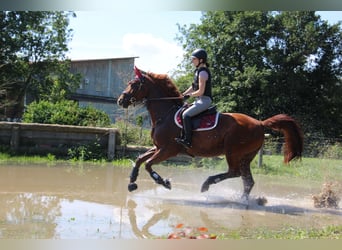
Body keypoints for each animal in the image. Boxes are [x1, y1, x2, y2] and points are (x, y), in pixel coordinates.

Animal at [117, 67, 302, 200]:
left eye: (134, 84)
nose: (120, 100)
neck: (166, 114)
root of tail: (260, 123)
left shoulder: (169, 149)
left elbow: (148, 165)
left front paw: (164, 182)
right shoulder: (158, 147)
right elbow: (139, 159)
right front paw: (132, 182)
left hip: (233, 152)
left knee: (234, 172)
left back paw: (207, 184)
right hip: (246, 156)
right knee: (247, 180)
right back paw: (243, 200)